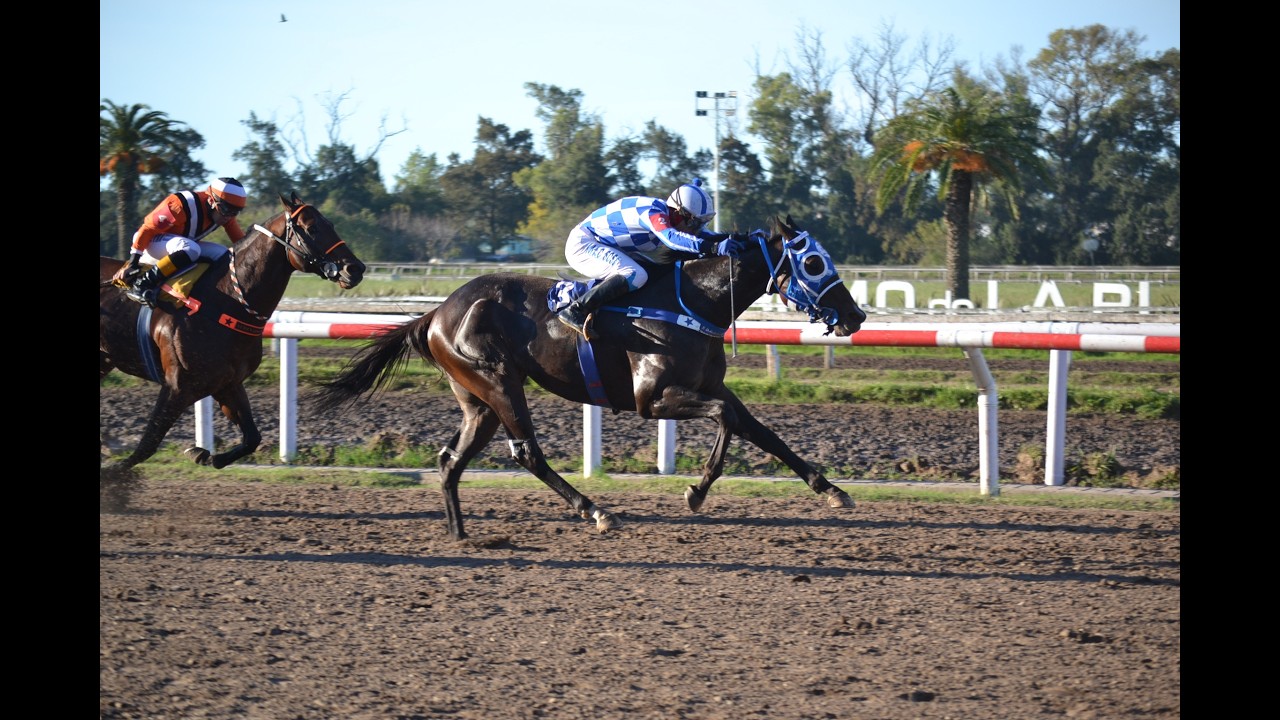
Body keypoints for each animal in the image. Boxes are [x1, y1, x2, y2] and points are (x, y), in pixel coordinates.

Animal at [100, 192, 366, 471]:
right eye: (312, 228)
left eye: (331, 224)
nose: (355, 269)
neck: (224, 301)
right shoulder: (178, 386)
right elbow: (147, 444)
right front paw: (113, 472)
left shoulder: (228, 383)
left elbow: (252, 438)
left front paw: (204, 454)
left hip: (104, 359)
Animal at [313, 215, 866, 540]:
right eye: (813, 261)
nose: (856, 316)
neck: (693, 301)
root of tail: (435, 313)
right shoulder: (653, 398)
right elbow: (726, 419)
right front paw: (697, 490)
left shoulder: (709, 385)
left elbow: (762, 430)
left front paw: (832, 489)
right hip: (499, 383)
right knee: (527, 452)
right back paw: (596, 510)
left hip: (478, 401)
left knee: (451, 459)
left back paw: (460, 533)